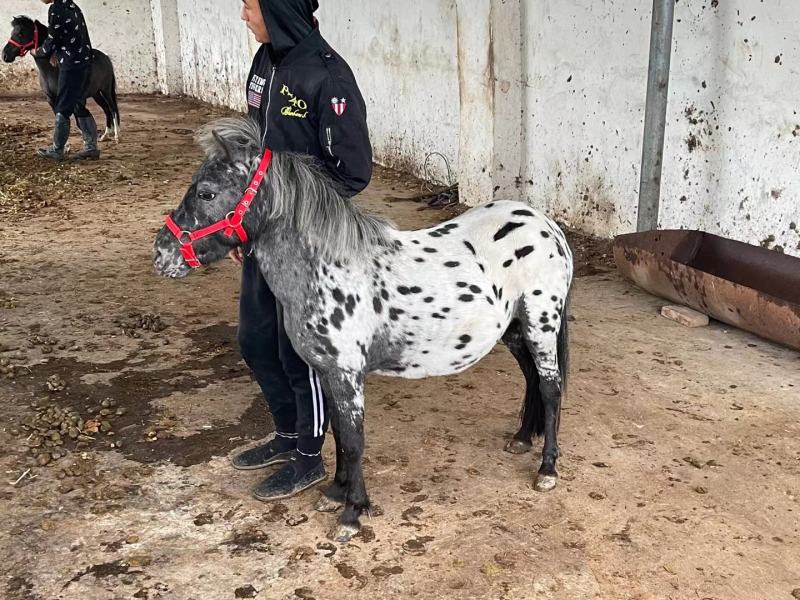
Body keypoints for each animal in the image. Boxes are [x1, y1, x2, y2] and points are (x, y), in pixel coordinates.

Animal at [152, 118, 574, 542]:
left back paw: (547, 469)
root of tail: (546, 225)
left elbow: (354, 440)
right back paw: (522, 439)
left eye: (206, 193)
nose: (161, 254)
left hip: (541, 324)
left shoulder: (347, 374)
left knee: (551, 388)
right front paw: (335, 493)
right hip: (515, 330)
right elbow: (339, 432)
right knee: (532, 380)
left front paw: (352, 512)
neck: (329, 268)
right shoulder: (326, 372)